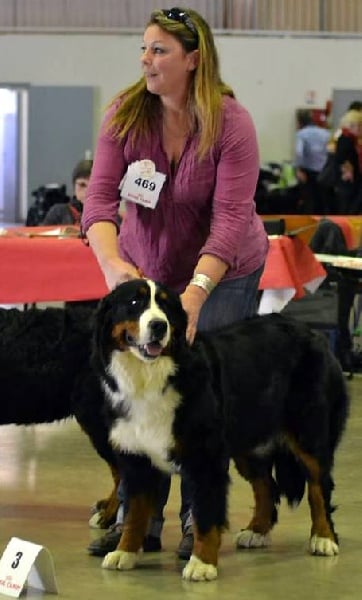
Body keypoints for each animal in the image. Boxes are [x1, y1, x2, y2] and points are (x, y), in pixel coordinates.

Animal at [88, 280, 350, 580]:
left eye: (165, 305)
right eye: (134, 303)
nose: (159, 326)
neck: (150, 376)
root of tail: (313, 332)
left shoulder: (205, 458)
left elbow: (205, 515)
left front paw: (202, 563)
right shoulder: (136, 457)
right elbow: (135, 513)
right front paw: (125, 551)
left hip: (309, 433)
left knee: (319, 487)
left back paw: (323, 538)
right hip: (248, 442)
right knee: (266, 485)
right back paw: (256, 531)